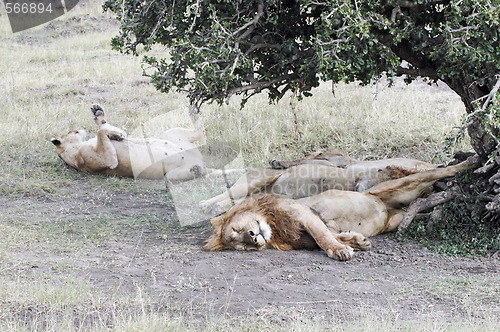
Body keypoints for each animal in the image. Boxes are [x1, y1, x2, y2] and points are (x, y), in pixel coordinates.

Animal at [204, 157, 480, 260]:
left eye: (238, 230)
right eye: (240, 243)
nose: (253, 237)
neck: (274, 227)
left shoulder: (304, 214)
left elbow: (324, 237)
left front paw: (340, 251)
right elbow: (331, 234)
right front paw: (357, 241)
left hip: (399, 184)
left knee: (437, 172)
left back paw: (471, 162)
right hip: (397, 216)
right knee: (417, 210)